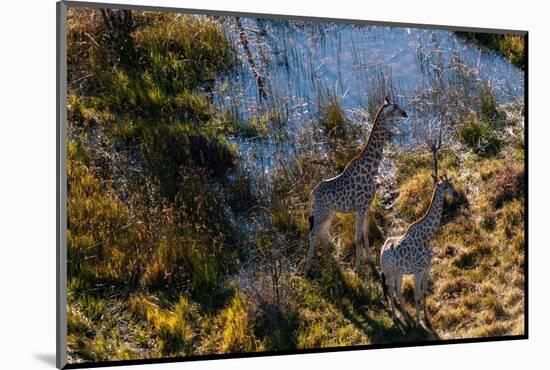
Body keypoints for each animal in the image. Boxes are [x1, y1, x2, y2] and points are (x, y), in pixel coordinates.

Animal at [306, 97, 410, 274]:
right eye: (395, 107)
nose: (405, 113)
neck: (372, 169)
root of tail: (312, 194)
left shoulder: (367, 206)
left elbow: (366, 233)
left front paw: (370, 260)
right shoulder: (360, 208)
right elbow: (358, 238)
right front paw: (358, 268)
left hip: (328, 213)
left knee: (324, 234)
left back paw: (330, 263)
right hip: (321, 213)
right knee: (313, 234)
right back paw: (308, 269)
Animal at [382, 173, 460, 326]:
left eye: (452, 184)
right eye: (445, 187)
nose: (456, 194)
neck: (427, 236)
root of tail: (381, 251)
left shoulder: (427, 268)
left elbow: (424, 293)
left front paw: (426, 319)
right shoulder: (417, 271)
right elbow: (417, 295)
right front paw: (418, 323)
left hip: (399, 272)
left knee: (397, 290)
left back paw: (406, 318)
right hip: (389, 272)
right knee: (390, 290)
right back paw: (395, 318)